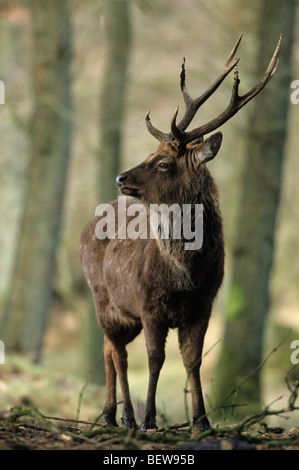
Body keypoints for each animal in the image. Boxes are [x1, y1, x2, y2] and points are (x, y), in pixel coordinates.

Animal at [79, 32, 282, 430]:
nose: (120, 177)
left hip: (123, 312)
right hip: (102, 298)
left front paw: (201, 420)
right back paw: (122, 416)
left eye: (162, 163)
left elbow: (193, 360)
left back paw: (114, 414)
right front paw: (150, 419)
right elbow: (155, 359)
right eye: (150, 153)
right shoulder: (149, 303)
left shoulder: (205, 303)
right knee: (117, 352)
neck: (185, 274)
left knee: (111, 350)